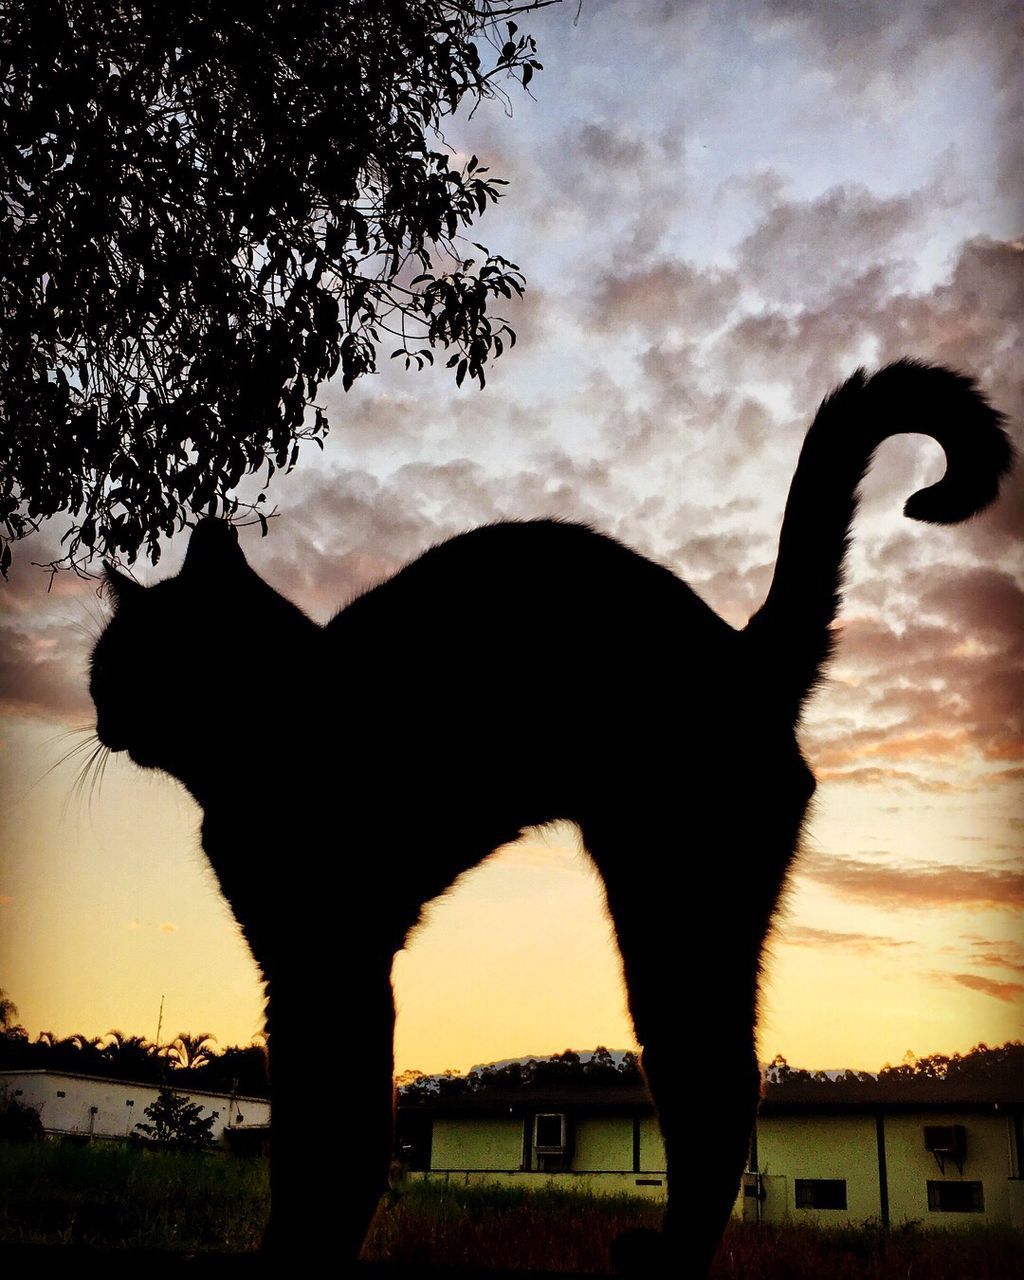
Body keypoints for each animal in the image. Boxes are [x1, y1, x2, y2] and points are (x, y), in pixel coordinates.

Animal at [92, 360, 1013, 1269]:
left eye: (120, 660)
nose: (98, 711)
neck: (273, 728)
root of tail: (743, 651)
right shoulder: (299, 957)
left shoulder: (332, 952)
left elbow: (335, 1129)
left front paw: (302, 1250)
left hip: (674, 907)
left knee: (721, 1083)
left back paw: (668, 1255)